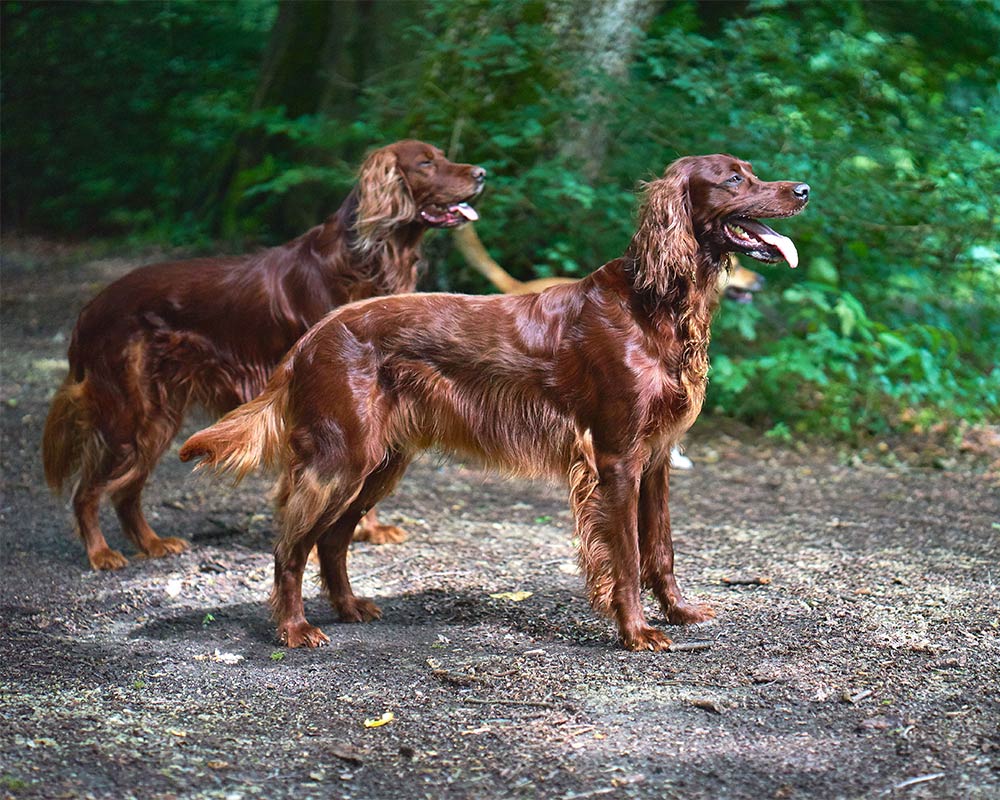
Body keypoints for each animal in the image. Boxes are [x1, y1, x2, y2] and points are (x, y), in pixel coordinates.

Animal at [41, 141, 486, 572]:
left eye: (442, 155)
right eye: (426, 163)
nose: (481, 173)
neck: (363, 260)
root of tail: (90, 309)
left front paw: (366, 529)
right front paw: (337, 539)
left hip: (158, 417)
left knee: (126, 490)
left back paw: (152, 544)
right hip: (130, 413)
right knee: (88, 490)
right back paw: (101, 554)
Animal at [178, 155, 804, 648]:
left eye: (751, 171)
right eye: (733, 179)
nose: (802, 189)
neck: (655, 305)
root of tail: (312, 338)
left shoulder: (656, 461)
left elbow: (662, 550)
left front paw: (678, 613)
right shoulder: (617, 459)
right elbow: (626, 556)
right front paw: (636, 632)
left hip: (379, 462)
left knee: (331, 539)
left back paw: (351, 608)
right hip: (340, 458)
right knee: (290, 547)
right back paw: (293, 629)